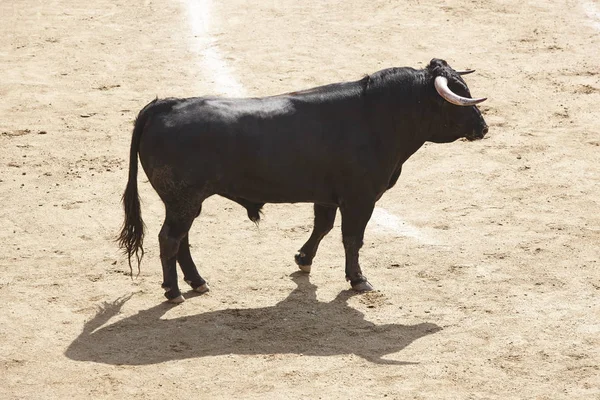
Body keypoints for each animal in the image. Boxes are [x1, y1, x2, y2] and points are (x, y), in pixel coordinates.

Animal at [117, 57, 488, 304]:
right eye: (456, 99)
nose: (483, 128)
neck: (380, 116)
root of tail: (165, 105)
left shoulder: (326, 196)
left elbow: (322, 227)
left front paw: (303, 260)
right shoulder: (360, 198)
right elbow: (352, 238)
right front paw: (358, 280)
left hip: (186, 202)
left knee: (181, 240)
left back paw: (197, 282)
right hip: (183, 200)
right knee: (170, 239)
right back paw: (174, 291)